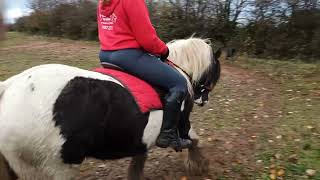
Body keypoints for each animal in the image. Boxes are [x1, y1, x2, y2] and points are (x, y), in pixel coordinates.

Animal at [0, 37, 220, 179]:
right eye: (216, 71)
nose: (204, 100)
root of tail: (10, 87)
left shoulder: (140, 137)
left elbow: (139, 158)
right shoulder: (182, 126)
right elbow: (195, 140)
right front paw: (199, 166)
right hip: (52, 168)